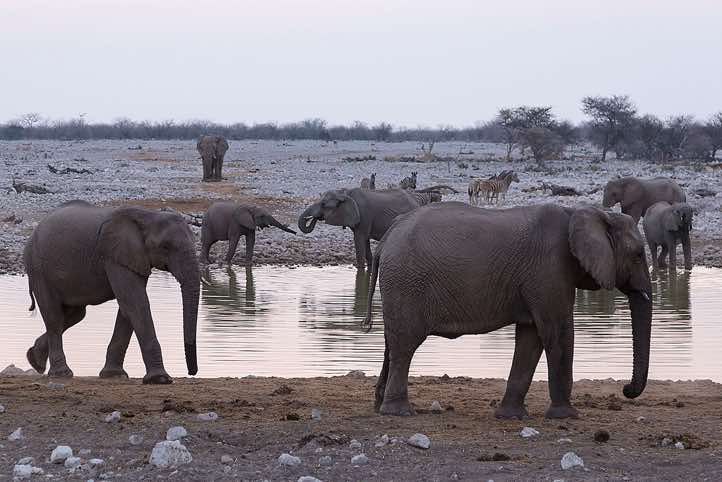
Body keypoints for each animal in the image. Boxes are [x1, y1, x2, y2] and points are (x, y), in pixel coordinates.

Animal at [23, 200, 200, 383]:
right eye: (165, 247)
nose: (192, 372)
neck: (148, 216)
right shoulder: (114, 256)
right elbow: (136, 303)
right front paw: (159, 379)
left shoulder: (133, 259)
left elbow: (128, 307)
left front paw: (114, 375)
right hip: (38, 269)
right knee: (54, 316)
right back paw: (61, 373)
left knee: (75, 315)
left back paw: (35, 360)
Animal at [297, 188, 438, 269]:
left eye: (323, 204)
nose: (313, 218)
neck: (344, 193)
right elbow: (365, 242)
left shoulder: (363, 215)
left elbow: (359, 242)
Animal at [363, 202, 652, 419]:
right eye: (638, 254)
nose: (626, 389)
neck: (583, 212)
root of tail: (386, 238)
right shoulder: (550, 269)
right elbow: (557, 333)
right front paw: (567, 416)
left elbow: (530, 338)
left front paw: (512, 416)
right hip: (406, 281)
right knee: (406, 344)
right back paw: (399, 412)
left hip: (400, 284)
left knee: (391, 343)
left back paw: (379, 407)